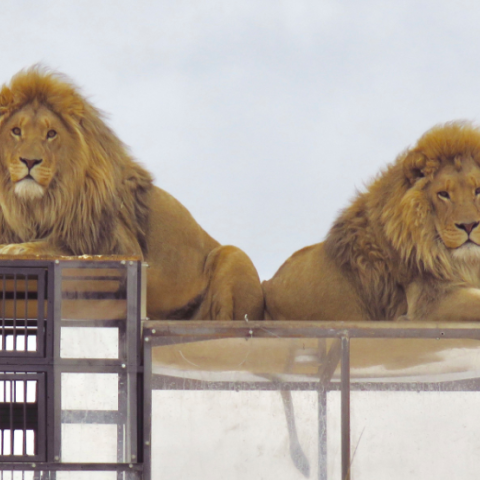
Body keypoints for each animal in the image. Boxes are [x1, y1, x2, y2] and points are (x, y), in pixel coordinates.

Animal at [0, 67, 264, 320]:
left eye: (51, 134)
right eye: (16, 131)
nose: (30, 161)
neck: (41, 203)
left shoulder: (123, 249)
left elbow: (59, 245)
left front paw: (15, 248)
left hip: (233, 256)